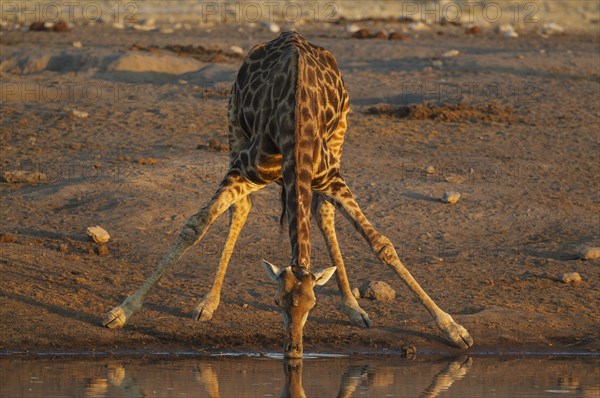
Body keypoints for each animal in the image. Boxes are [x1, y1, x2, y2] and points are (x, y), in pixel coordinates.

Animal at [103, 31, 474, 358]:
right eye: (276, 301)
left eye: (312, 303)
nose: (294, 350)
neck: (296, 124)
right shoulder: (244, 168)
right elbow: (196, 225)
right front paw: (122, 311)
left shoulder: (331, 176)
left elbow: (381, 244)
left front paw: (454, 329)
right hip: (233, 124)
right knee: (242, 208)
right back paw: (209, 302)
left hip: (340, 133)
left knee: (323, 212)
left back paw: (354, 308)